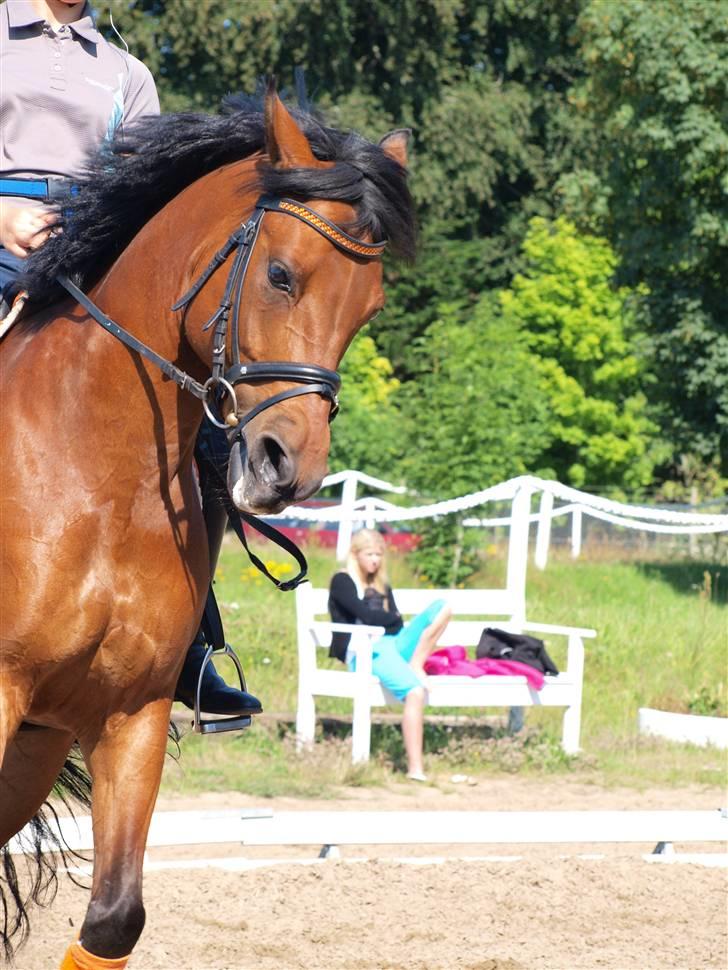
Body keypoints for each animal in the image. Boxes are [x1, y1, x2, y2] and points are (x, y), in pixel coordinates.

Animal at [0, 87, 412, 964]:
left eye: (370, 309)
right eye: (282, 274)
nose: (289, 467)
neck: (96, 476)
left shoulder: (131, 711)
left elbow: (115, 916)